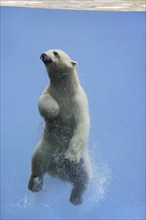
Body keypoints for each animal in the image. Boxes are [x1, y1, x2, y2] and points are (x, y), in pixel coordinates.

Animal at [28, 49, 92, 205]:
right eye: (48, 50)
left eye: (55, 53)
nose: (43, 55)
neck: (65, 87)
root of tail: (59, 172)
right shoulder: (49, 91)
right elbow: (43, 101)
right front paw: (54, 111)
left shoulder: (79, 101)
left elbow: (82, 123)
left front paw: (70, 156)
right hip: (46, 149)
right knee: (37, 165)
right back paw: (35, 185)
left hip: (83, 164)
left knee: (83, 180)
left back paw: (76, 198)